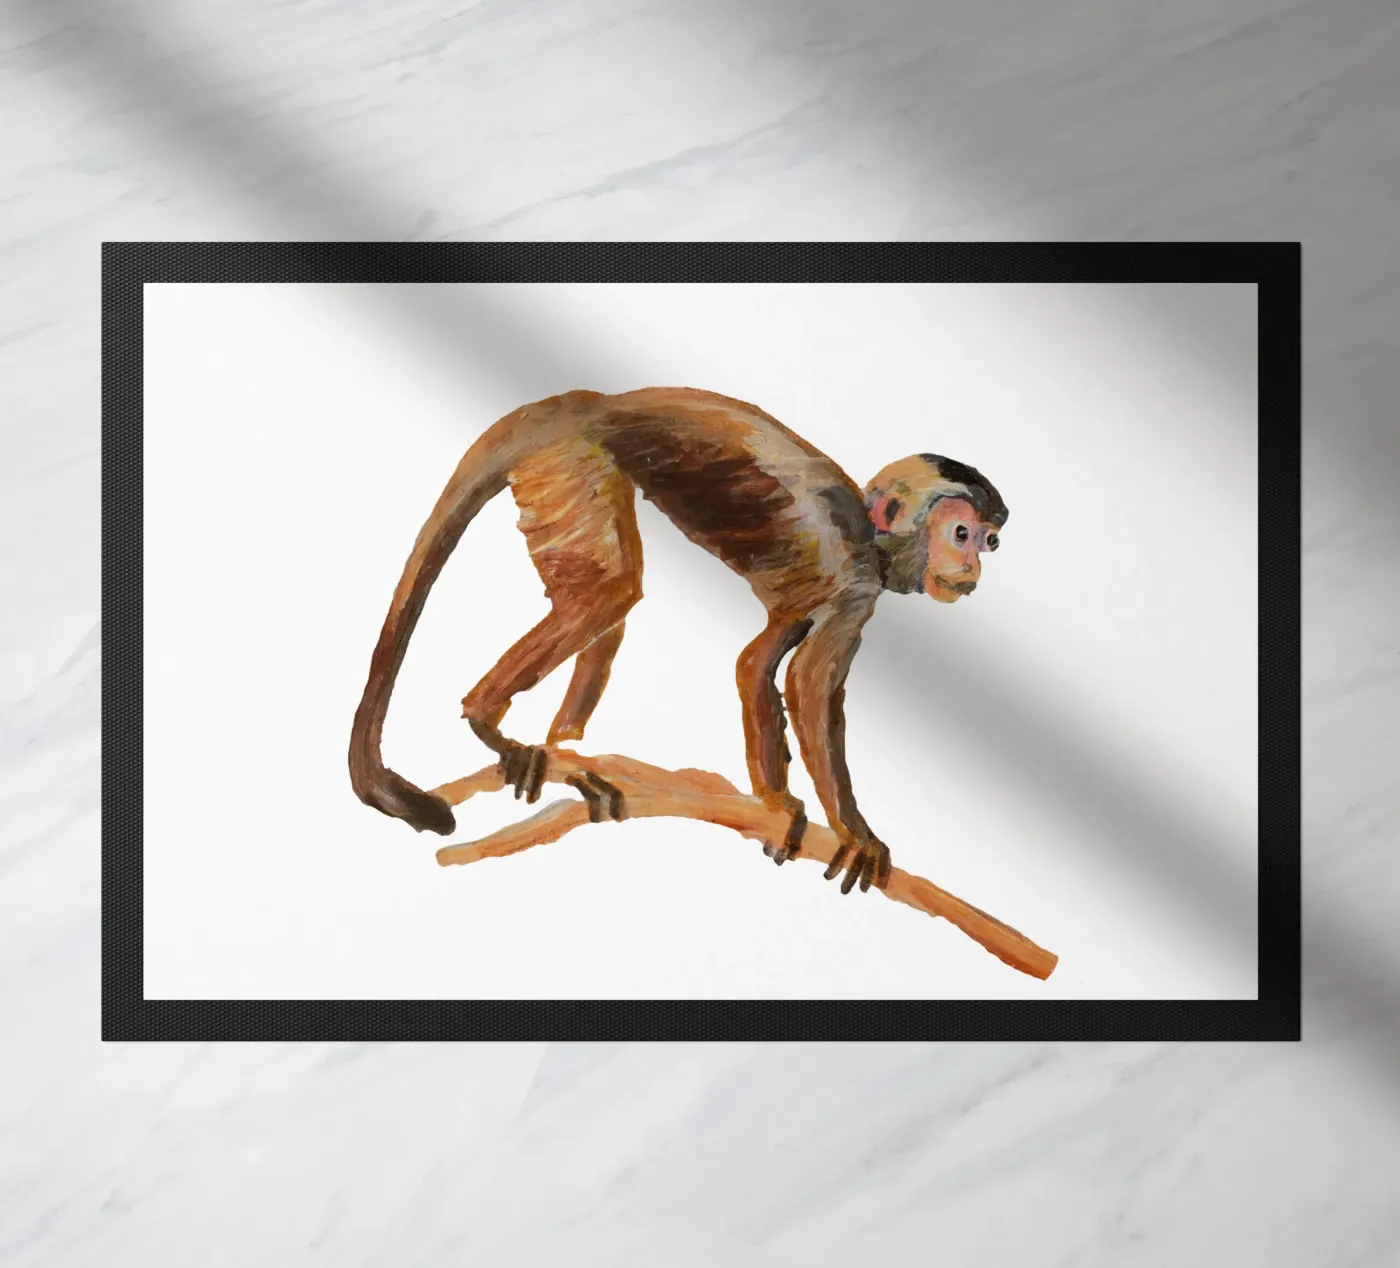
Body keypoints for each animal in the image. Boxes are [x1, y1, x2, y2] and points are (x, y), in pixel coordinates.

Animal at [348, 387, 1007, 895]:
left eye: (989, 541)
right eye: (961, 534)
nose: (974, 567)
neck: (875, 539)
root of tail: (585, 402)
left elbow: (768, 664)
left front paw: (803, 812)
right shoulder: (855, 585)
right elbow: (792, 680)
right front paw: (830, 824)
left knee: (605, 605)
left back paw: (566, 748)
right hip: (570, 463)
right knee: (612, 592)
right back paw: (491, 722)